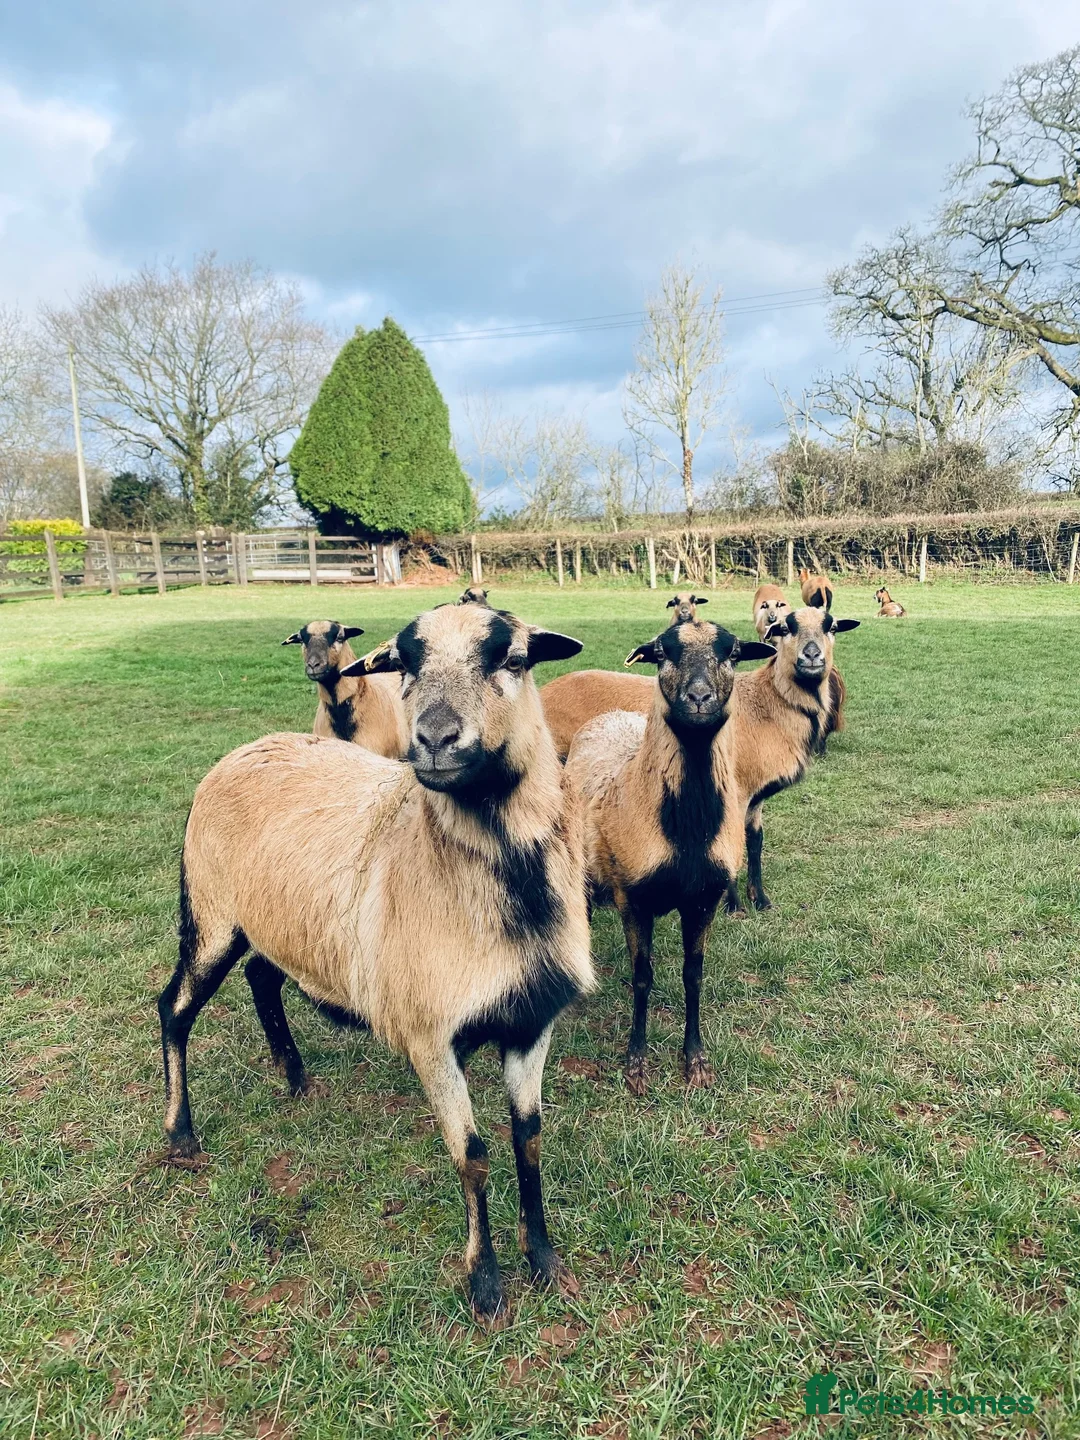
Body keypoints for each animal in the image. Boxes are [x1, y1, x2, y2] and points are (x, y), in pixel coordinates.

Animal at [565, 620, 775, 1095]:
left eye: (734, 653)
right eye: (661, 654)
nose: (699, 697)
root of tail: (612, 716)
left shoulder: (703, 900)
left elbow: (692, 976)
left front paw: (695, 1060)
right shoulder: (633, 898)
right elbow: (642, 978)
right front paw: (636, 1063)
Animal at [729, 606, 859, 910]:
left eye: (832, 628)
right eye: (785, 629)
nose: (811, 655)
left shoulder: (755, 795)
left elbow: (755, 841)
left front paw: (760, 899)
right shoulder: (735, 791)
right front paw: (734, 907)